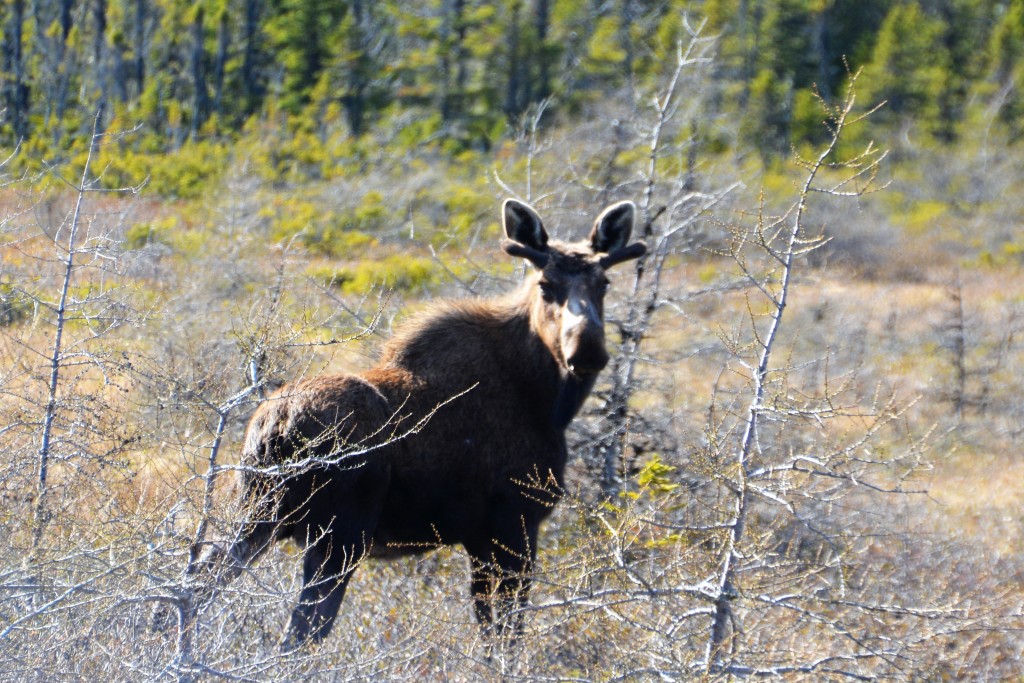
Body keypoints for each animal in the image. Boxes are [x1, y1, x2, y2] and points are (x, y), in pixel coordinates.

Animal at [188, 197, 643, 647]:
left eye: (604, 283)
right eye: (546, 285)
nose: (587, 350)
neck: (548, 398)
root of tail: (276, 427)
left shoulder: (479, 537)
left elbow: (488, 630)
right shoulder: (518, 521)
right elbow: (509, 635)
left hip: (253, 515)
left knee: (193, 588)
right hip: (339, 537)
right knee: (298, 634)